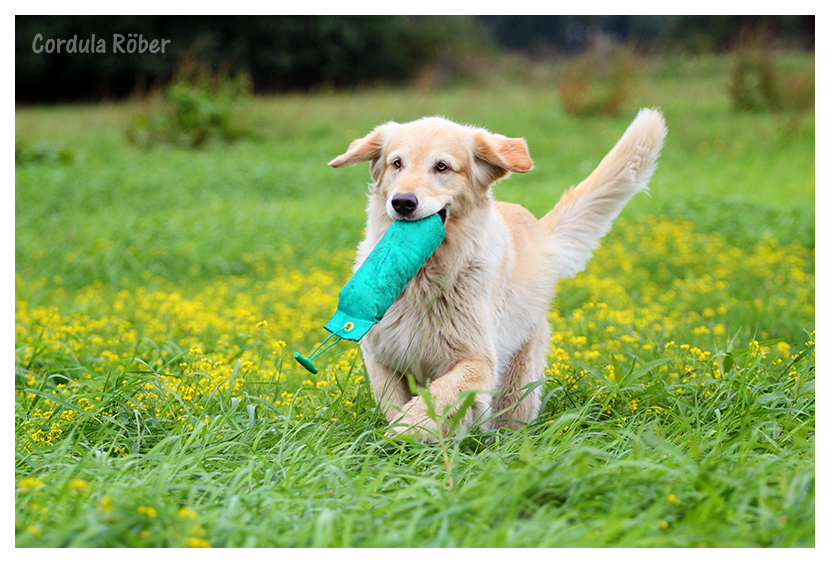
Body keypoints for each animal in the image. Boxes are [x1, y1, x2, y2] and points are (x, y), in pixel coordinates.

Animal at [328, 109, 668, 440]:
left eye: (442, 167)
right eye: (396, 163)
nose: (402, 202)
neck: (424, 273)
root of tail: (540, 230)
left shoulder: (478, 361)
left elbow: (435, 397)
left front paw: (405, 429)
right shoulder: (381, 357)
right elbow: (393, 401)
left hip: (518, 378)